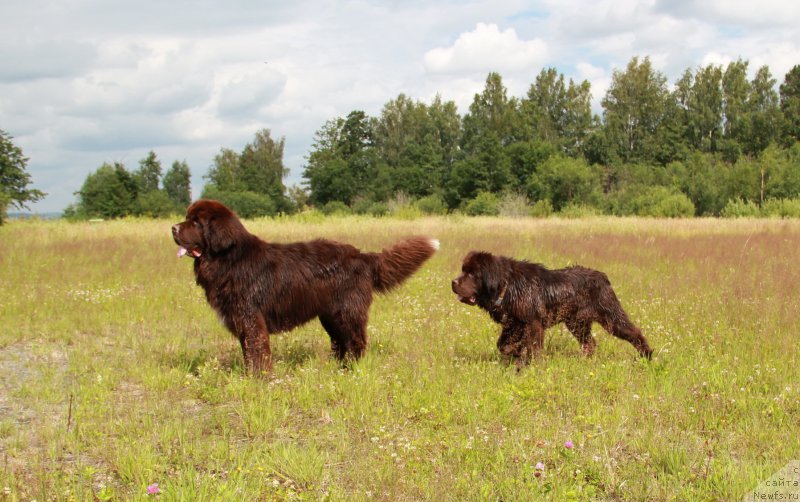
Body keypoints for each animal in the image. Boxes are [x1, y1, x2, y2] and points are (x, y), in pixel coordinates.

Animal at [172, 199, 440, 372]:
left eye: (196, 222)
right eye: (187, 219)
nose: (173, 228)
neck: (229, 259)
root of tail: (363, 256)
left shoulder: (251, 318)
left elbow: (257, 351)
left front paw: (259, 378)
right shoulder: (242, 321)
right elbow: (248, 352)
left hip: (346, 311)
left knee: (356, 341)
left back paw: (352, 370)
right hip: (330, 315)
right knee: (340, 342)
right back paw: (337, 368)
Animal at [454, 250, 652, 364]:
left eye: (472, 274)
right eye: (463, 270)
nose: (453, 282)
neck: (508, 286)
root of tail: (603, 277)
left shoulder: (533, 324)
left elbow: (533, 349)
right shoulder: (513, 325)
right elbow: (504, 345)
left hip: (610, 317)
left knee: (634, 332)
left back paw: (647, 355)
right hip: (577, 324)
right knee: (590, 343)